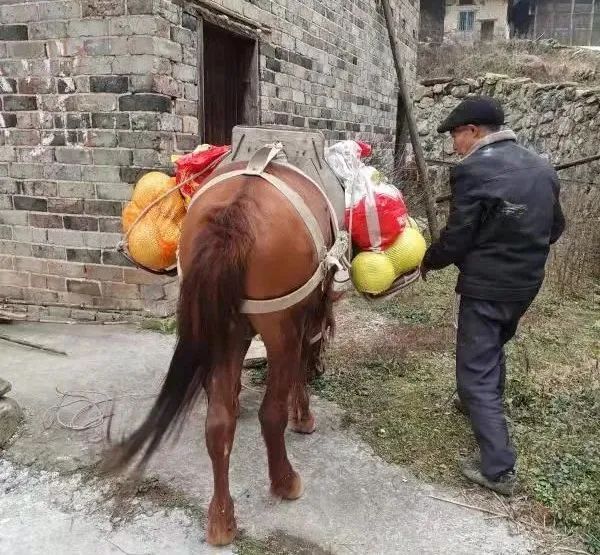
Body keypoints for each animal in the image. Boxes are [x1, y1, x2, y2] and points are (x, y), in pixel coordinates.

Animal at [104, 144, 342, 548]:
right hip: (276, 328)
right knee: (269, 415)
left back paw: (220, 518)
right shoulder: (302, 317)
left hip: (220, 324)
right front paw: (303, 416)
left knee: (217, 425)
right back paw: (284, 482)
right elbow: (299, 367)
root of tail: (235, 212)